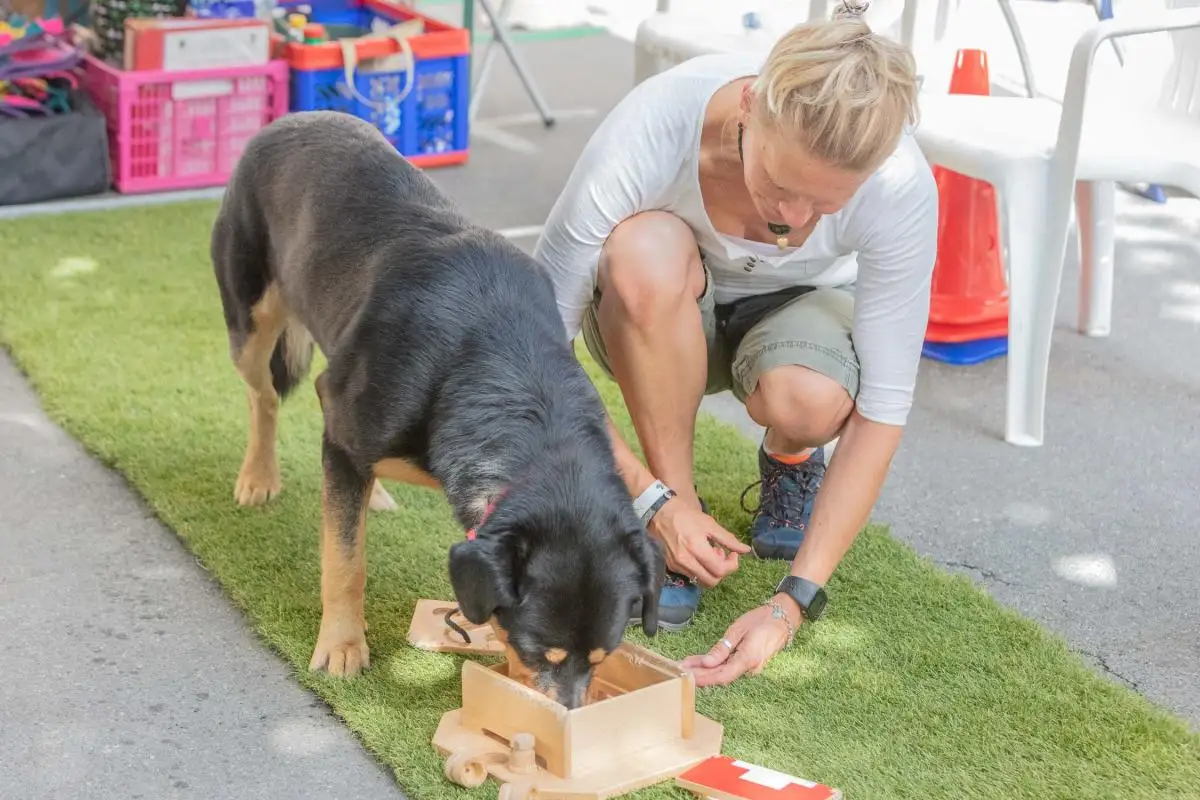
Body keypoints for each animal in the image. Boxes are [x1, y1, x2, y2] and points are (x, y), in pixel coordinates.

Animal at [210, 111, 665, 709]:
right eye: (540, 650)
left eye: (603, 656)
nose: (564, 717)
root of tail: (289, 119)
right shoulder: (350, 427)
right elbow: (344, 561)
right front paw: (341, 645)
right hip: (252, 317)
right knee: (262, 395)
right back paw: (259, 475)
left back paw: (373, 491)